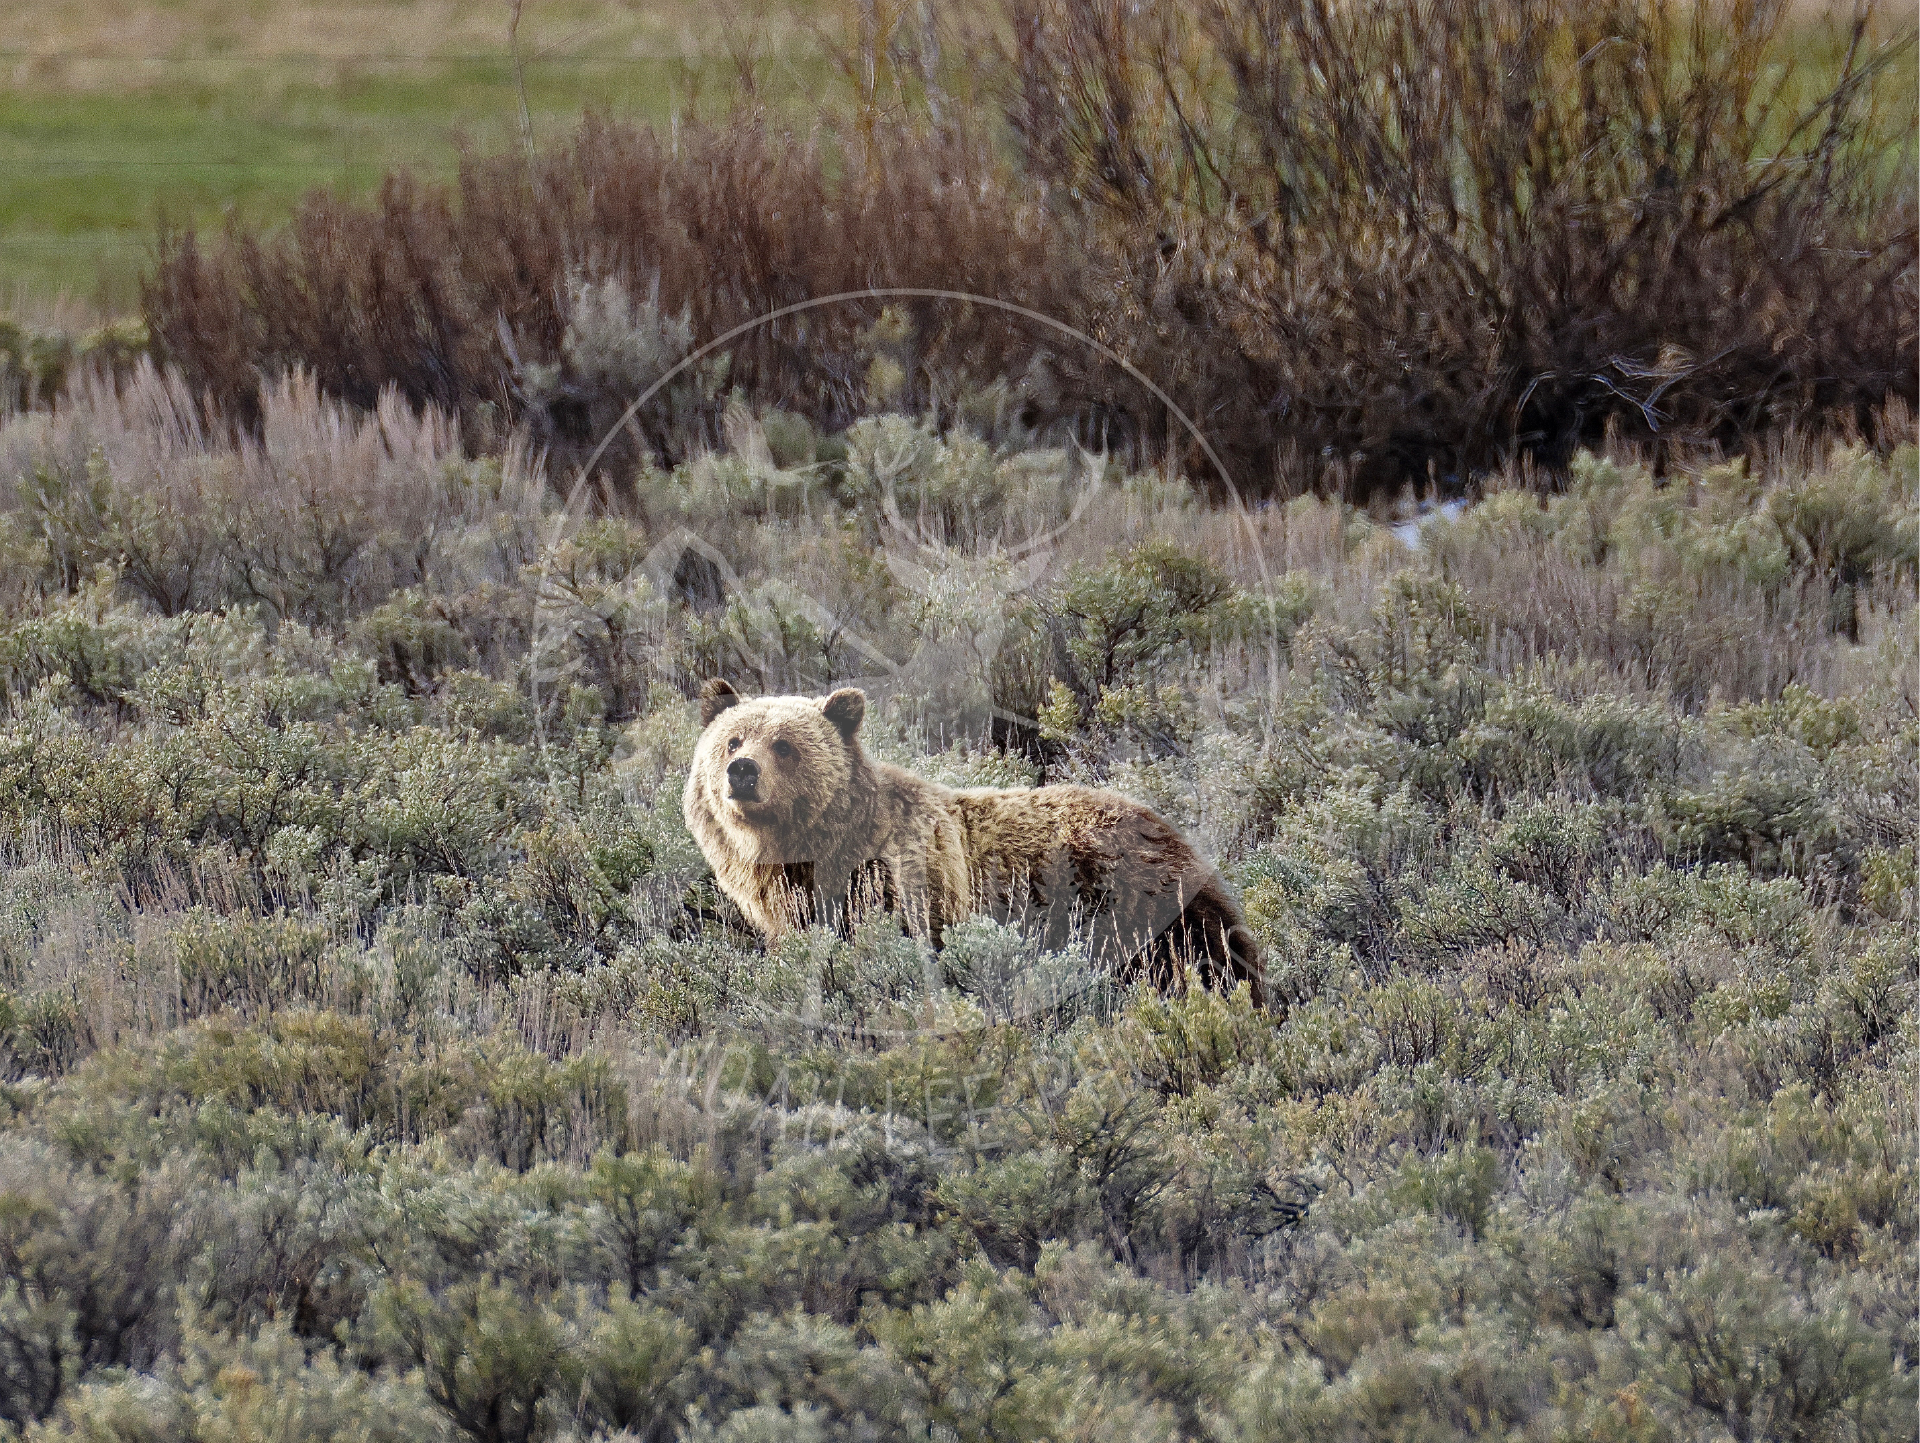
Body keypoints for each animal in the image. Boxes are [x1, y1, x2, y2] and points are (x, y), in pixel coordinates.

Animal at [682, 678, 1265, 1007]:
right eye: (732, 739)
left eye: (784, 745)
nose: (742, 771)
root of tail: (1172, 830)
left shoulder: (908, 885)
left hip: (1135, 900)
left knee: (1200, 959)